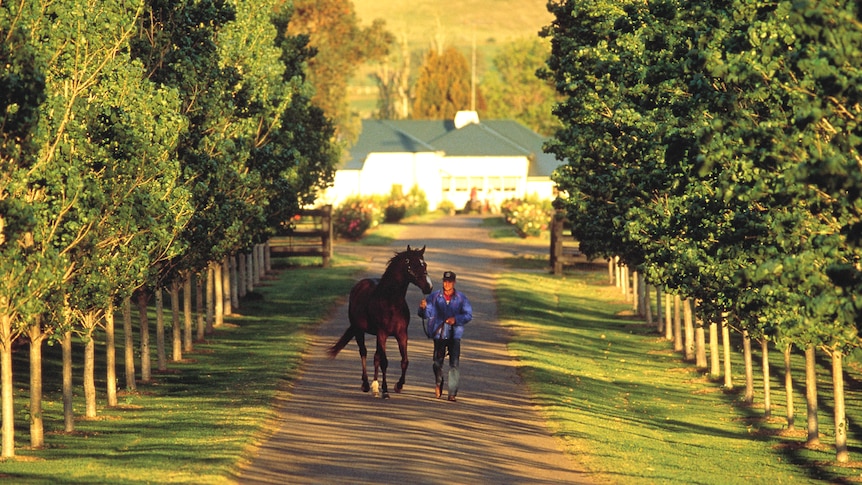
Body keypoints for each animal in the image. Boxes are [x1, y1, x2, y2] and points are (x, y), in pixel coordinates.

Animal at [328, 244, 432, 398]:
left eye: (424, 264)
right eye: (411, 265)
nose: (428, 287)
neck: (391, 302)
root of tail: (359, 286)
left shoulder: (402, 335)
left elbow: (404, 361)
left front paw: (398, 386)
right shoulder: (382, 334)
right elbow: (384, 362)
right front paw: (386, 391)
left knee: (375, 356)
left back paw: (375, 386)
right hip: (359, 331)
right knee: (364, 352)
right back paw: (366, 384)